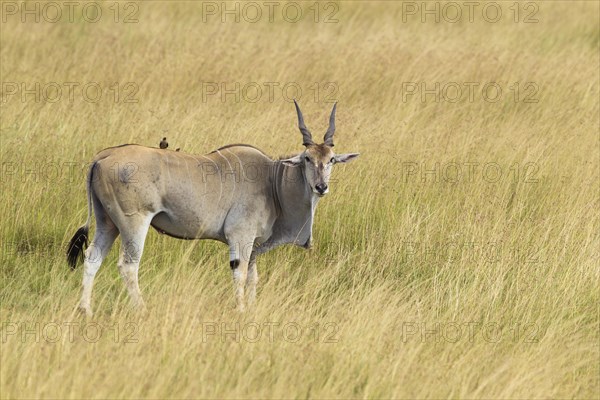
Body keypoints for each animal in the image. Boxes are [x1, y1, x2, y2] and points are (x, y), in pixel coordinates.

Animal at [67, 101, 356, 316]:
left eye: (331, 160)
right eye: (307, 158)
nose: (321, 187)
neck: (272, 180)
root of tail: (104, 156)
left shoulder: (253, 246)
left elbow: (253, 278)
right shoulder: (239, 238)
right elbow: (240, 274)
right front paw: (241, 311)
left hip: (107, 223)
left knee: (92, 257)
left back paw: (85, 310)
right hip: (133, 223)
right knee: (128, 265)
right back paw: (142, 310)